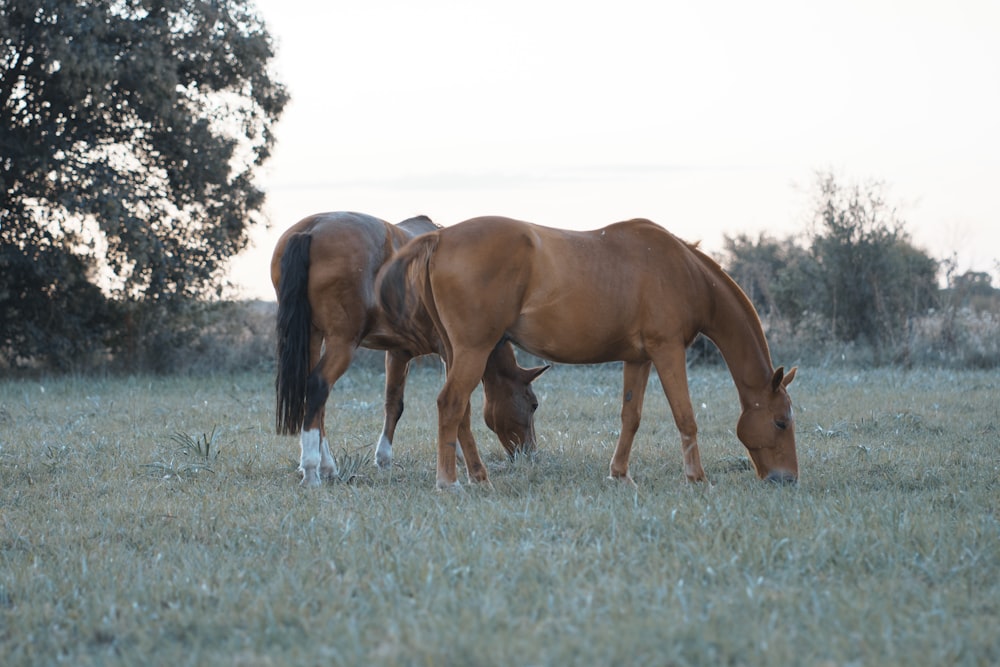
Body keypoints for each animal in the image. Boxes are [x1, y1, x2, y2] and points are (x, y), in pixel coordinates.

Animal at [272, 211, 548, 488]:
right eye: (533, 404)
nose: (530, 454)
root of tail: (311, 229)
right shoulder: (451, 353)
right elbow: (460, 407)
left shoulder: (397, 353)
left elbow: (394, 404)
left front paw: (384, 459)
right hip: (341, 342)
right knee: (318, 386)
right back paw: (311, 470)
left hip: (313, 338)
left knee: (316, 399)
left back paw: (326, 466)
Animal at [378, 215, 800, 490]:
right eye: (781, 422)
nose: (788, 479)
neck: (684, 270)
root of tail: (440, 238)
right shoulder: (667, 351)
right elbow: (685, 417)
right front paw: (697, 479)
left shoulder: (639, 358)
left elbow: (631, 416)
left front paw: (620, 474)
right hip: (472, 351)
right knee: (450, 404)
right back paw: (448, 482)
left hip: (456, 353)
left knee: (461, 411)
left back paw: (478, 476)